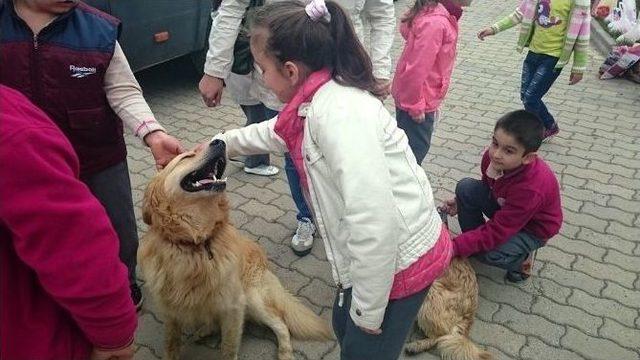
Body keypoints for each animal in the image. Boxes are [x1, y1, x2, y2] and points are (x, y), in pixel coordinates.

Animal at [137, 140, 332, 360]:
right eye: (187, 156)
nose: (219, 141)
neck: (196, 244)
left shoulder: (233, 307)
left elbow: (228, 348)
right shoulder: (171, 312)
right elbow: (171, 345)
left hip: (252, 297)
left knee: (281, 323)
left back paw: (285, 353)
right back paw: (204, 330)